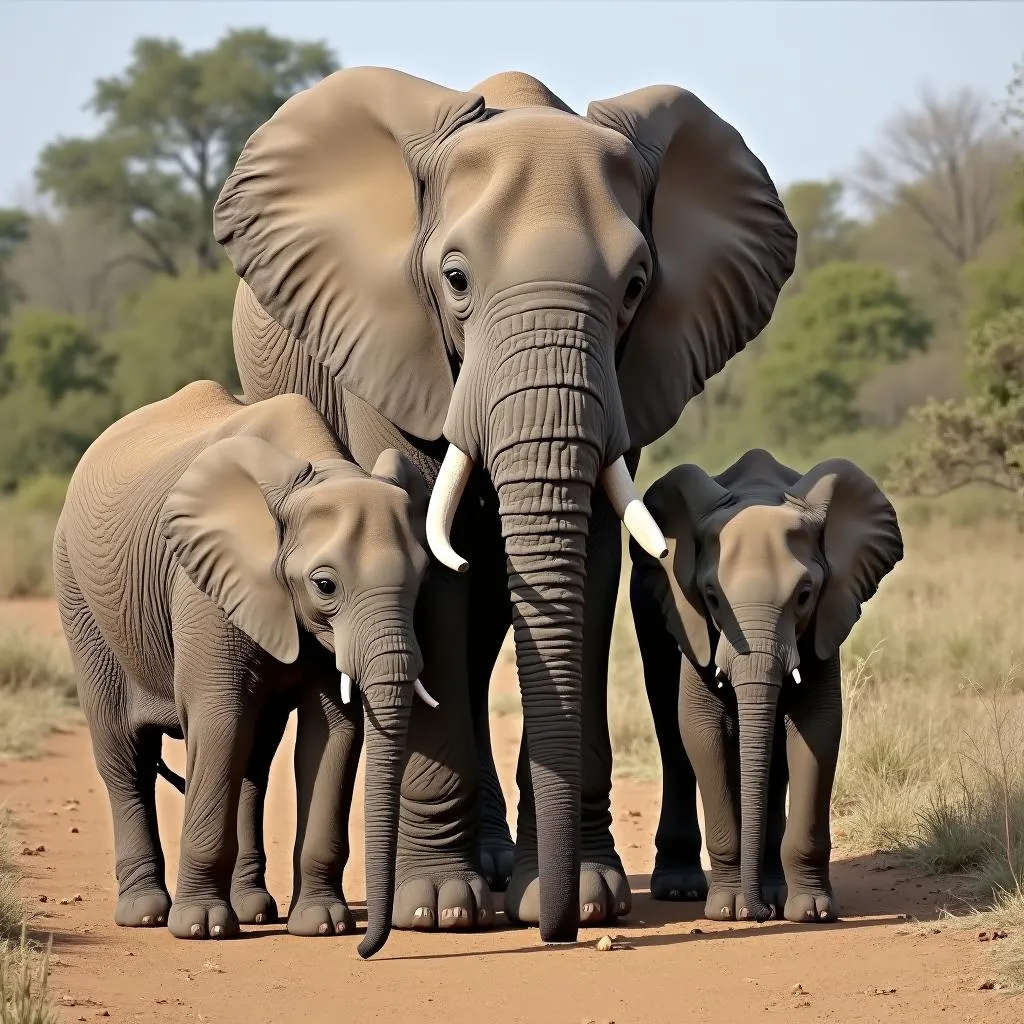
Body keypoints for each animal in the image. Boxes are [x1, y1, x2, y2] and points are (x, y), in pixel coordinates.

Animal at [54, 378, 434, 958]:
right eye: (325, 585)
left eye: (422, 580)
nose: (367, 951)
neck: (314, 470)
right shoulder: (203, 582)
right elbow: (219, 717)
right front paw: (200, 929)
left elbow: (334, 731)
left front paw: (322, 926)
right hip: (79, 596)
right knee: (127, 754)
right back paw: (145, 914)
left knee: (254, 757)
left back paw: (255, 910)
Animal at [211, 66, 794, 942]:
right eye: (455, 280)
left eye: (635, 287)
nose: (559, 931)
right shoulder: (390, 348)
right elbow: (428, 560)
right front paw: (439, 908)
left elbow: (592, 554)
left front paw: (585, 895)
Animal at [626, 452, 901, 925]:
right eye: (712, 598)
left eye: (805, 595)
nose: (759, 915)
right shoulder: (693, 622)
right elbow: (700, 729)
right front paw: (726, 910)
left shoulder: (825, 623)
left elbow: (817, 729)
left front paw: (812, 912)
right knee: (671, 734)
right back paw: (683, 890)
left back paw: (773, 889)